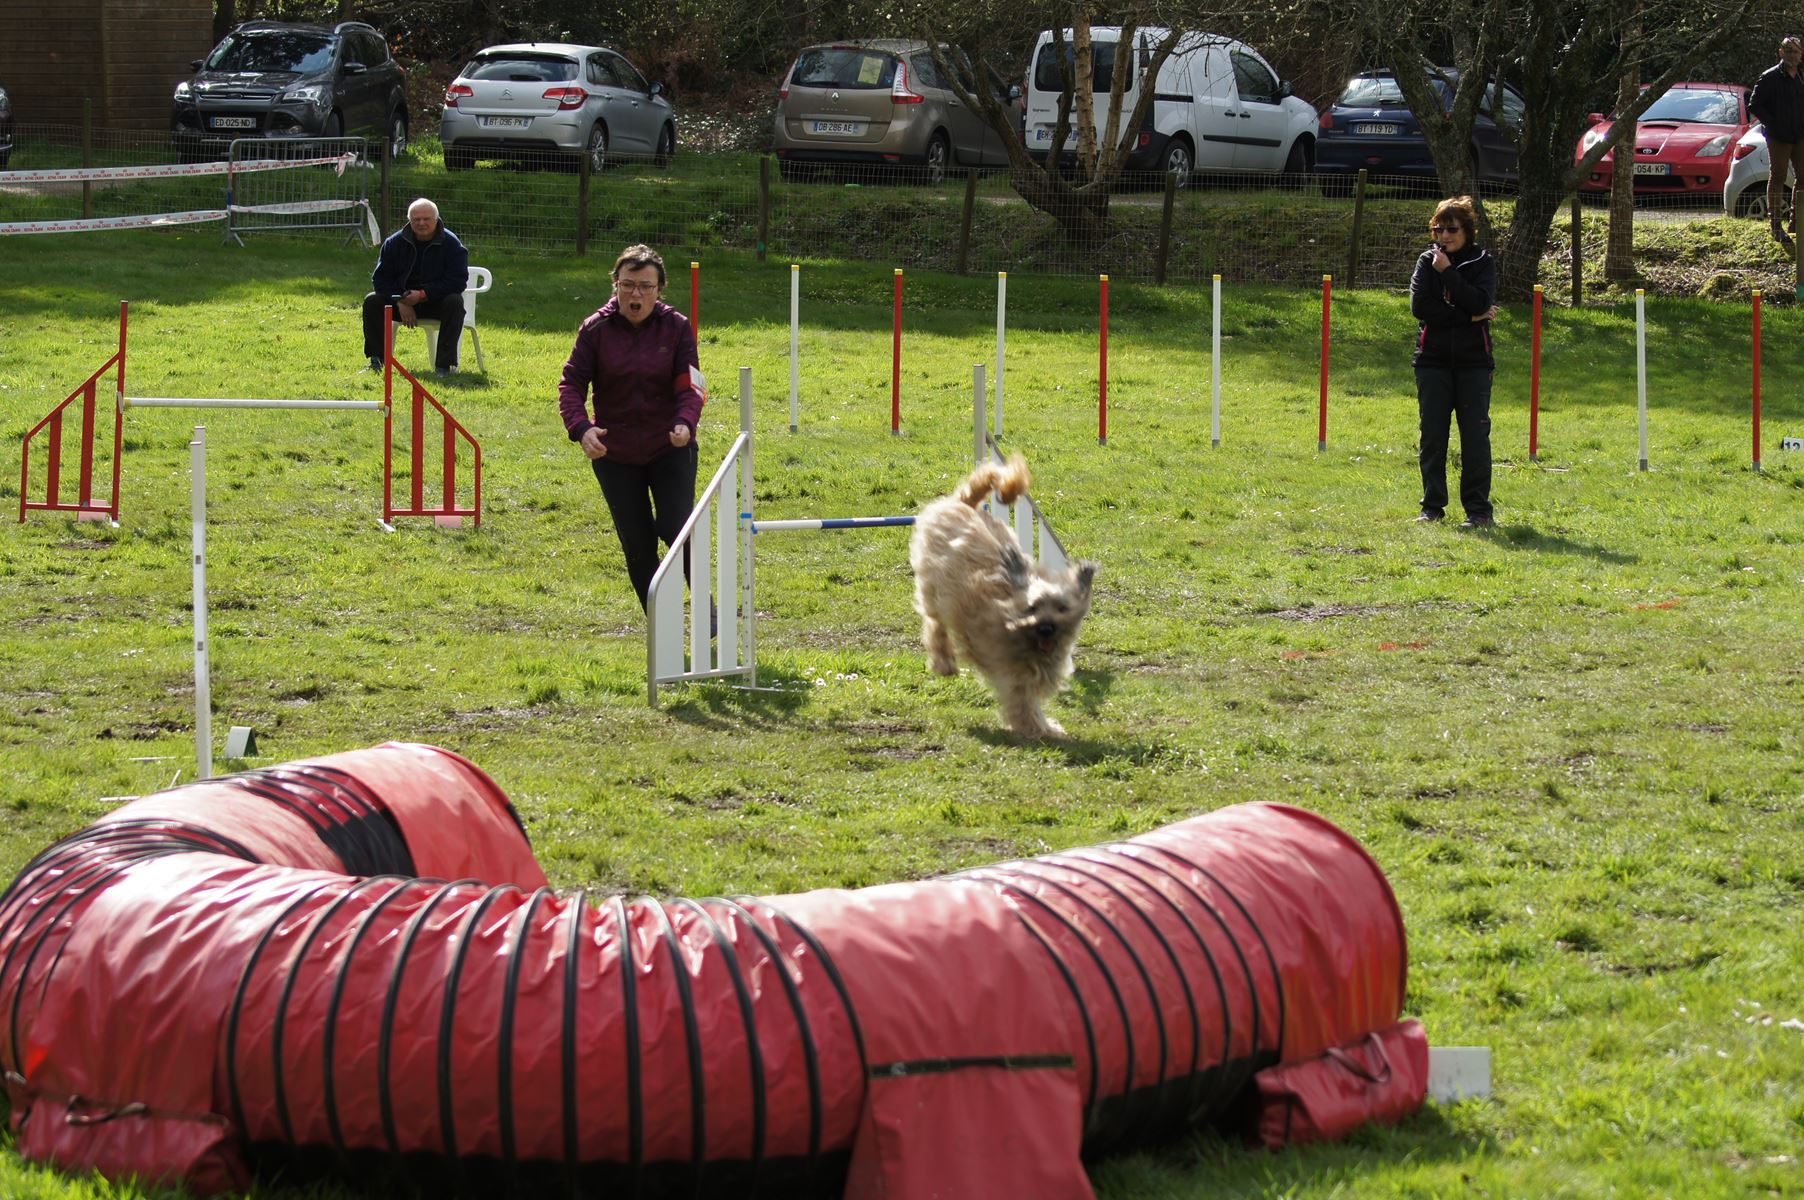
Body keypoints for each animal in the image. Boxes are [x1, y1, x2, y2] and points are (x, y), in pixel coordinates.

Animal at [909, 456, 1089, 739]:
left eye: (1062, 608)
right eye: (1033, 607)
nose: (1047, 628)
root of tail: (963, 503)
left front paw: (1048, 728)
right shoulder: (1013, 675)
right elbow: (1023, 704)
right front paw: (1041, 729)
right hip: (934, 587)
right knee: (934, 624)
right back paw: (944, 662)